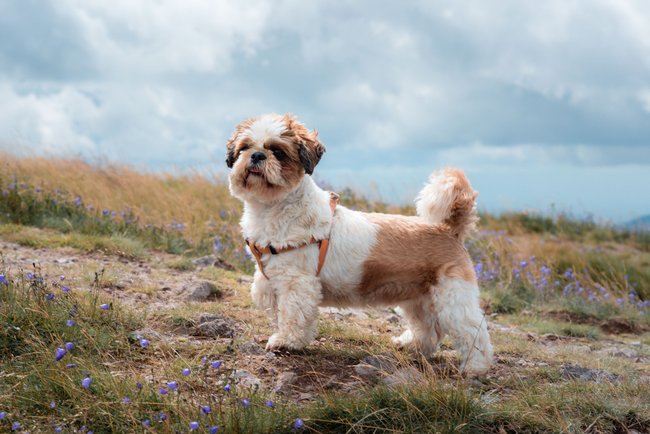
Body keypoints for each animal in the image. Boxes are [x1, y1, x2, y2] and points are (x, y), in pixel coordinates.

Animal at [224, 113, 492, 374]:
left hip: (453, 298)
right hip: (418, 298)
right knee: (429, 328)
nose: (257, 155)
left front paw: (286, 341)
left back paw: (475, 367)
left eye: (278, 152)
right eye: (244, 148)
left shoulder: (296, 283)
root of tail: (448, 229)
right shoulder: (272, 281)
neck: (274, 209)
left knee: (472, 331)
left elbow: (292, 315)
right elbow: (283, 314)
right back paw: (411, 346)